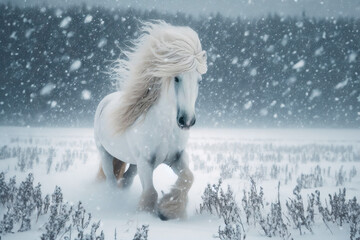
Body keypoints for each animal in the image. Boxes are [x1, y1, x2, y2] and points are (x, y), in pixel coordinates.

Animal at [94, 21, 207, 220]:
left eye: (199, 80)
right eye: (176, 78)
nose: (187, 121)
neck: (165, 127)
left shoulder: (177, 157)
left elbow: (188, 178)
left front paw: (170, 210)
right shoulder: (146, 162)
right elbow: (151, 193)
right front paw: (150, 215)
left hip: (132, 162)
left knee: (126, 179)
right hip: (105, 154)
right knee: (111, 181)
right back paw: (114, 203)